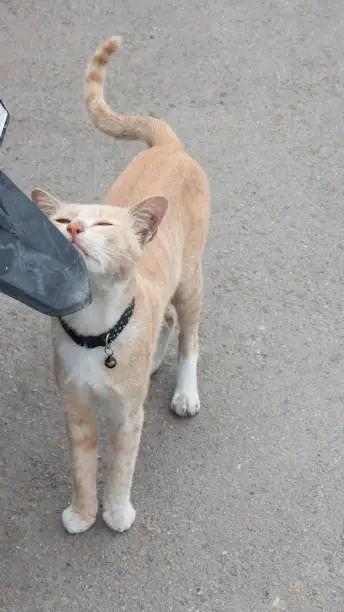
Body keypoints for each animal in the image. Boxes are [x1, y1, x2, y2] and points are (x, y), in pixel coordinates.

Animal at [31, 37, 210, 536]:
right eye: (61, 221)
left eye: (105, 224)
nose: (74, 229)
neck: (96, 332)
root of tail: (169, 146)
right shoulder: (75, 409)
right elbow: (81, 469)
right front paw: (82, 513)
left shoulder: (129, 416)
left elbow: (120, 468)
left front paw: (115, 513)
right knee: (166, 318)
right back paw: (154, 360)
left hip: (190, 280)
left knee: (189, 336)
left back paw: (185, 391)